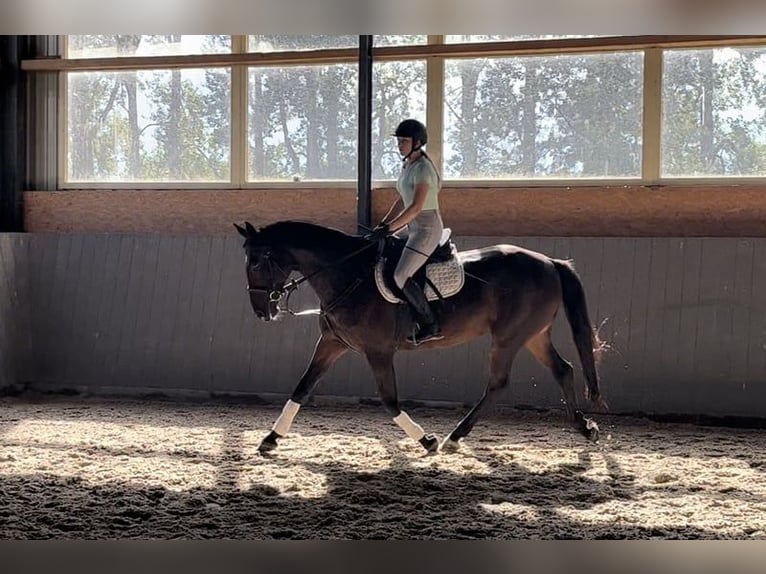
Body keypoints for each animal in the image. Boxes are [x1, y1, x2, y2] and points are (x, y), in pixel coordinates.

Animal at [234, 220, 607, 454]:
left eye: (256, 262)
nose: (261, 311)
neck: (348, 274)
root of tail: (549, 261)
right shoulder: (333, 344)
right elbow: (301, 388)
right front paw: (270, 439)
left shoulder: (378, 350)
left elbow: (389, 399)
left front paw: (426, 441)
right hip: (532, 335)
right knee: (563, 369)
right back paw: (583, 427)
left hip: (508, 338)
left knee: (499, 383)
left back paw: (454, 437)